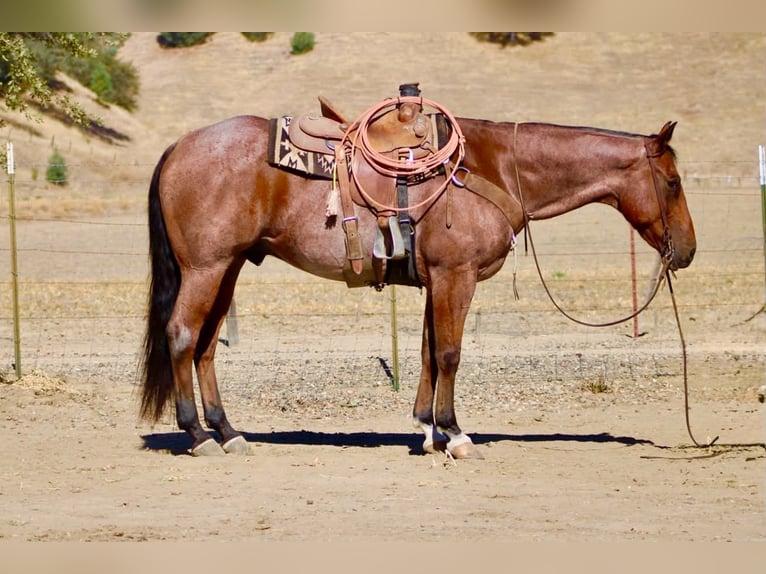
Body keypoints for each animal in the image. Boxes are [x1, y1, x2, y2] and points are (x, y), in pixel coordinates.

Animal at [139, 114, 696, 458]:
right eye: (672, 183)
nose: (687, 250)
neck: (494, 167)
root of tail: (179, 146)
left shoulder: (437, 280)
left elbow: (429, 350)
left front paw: (427, 430)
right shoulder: (456, 275)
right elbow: (449, 352)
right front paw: (454, 433)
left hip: (228, 267)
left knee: (207, 345)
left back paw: (228, 432)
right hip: (206, 268)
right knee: (183, 335)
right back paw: (197, 435)